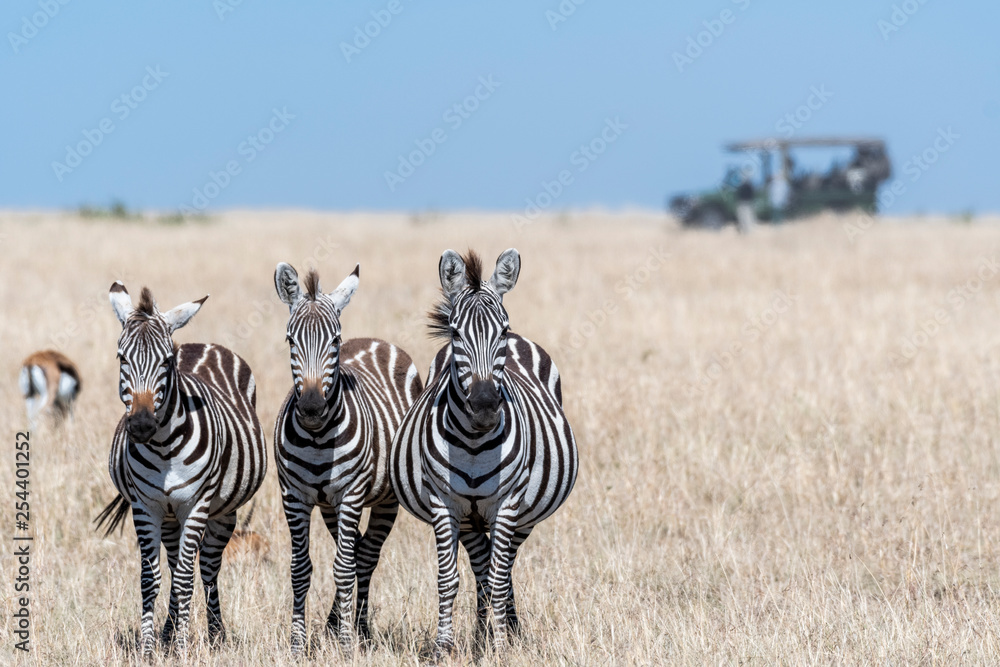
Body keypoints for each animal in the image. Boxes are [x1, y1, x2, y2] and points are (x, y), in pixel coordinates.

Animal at [94, 282, 267, 659]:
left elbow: (188, 578)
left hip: (222, 512)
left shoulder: (196, 504)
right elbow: (151, 578)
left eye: (167, 361)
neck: (163, 448)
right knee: (174, 566)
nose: (142, 425)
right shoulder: (145, 506)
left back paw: (215, 635)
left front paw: (186, 648)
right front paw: (149, 649)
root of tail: (204, 344)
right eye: (121, 358)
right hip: (170, 516)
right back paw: (168, 634)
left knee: (207, 568)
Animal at [272, 262, 421, 652]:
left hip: (384, 500)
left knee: (364, 558)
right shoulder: (294, 496)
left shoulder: (351, 494)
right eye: (290, 340)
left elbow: (342, 568)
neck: (317, 438)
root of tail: (374, 340)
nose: (311, 408)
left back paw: (360, 629)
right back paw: (336, 622)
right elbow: (300, 568)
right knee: (354, 551)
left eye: (335, 341)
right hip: (329, 507)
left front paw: (345, 643)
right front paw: (297, 644)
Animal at [390, 248, 579, 655]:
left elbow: (499, 574)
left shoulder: (507, 503)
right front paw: (444, 647)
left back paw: (507, 630)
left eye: (502, 331)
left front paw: (503, 645)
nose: (485, 406)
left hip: (522, 516)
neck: (475, 443)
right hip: (469, 519)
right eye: (456, 332)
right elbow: (449, 579)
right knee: (482, 570)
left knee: (502, 571)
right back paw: (480, 636)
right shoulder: (443, 503)